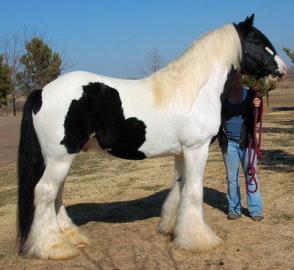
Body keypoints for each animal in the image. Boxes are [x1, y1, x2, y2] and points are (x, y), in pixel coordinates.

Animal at [17, 14, 286, 260]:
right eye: (257, 41)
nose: (282, 69)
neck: (194, 91)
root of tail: (42, 91)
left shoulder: (182, 152)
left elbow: (180, 188)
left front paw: (171, 228)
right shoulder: (196, 149)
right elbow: (194, 191)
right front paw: (198, 240)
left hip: (61, 158)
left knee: (57, 194)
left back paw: (72, 237)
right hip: (60, 158)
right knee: (45, 192)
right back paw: (54, 248)